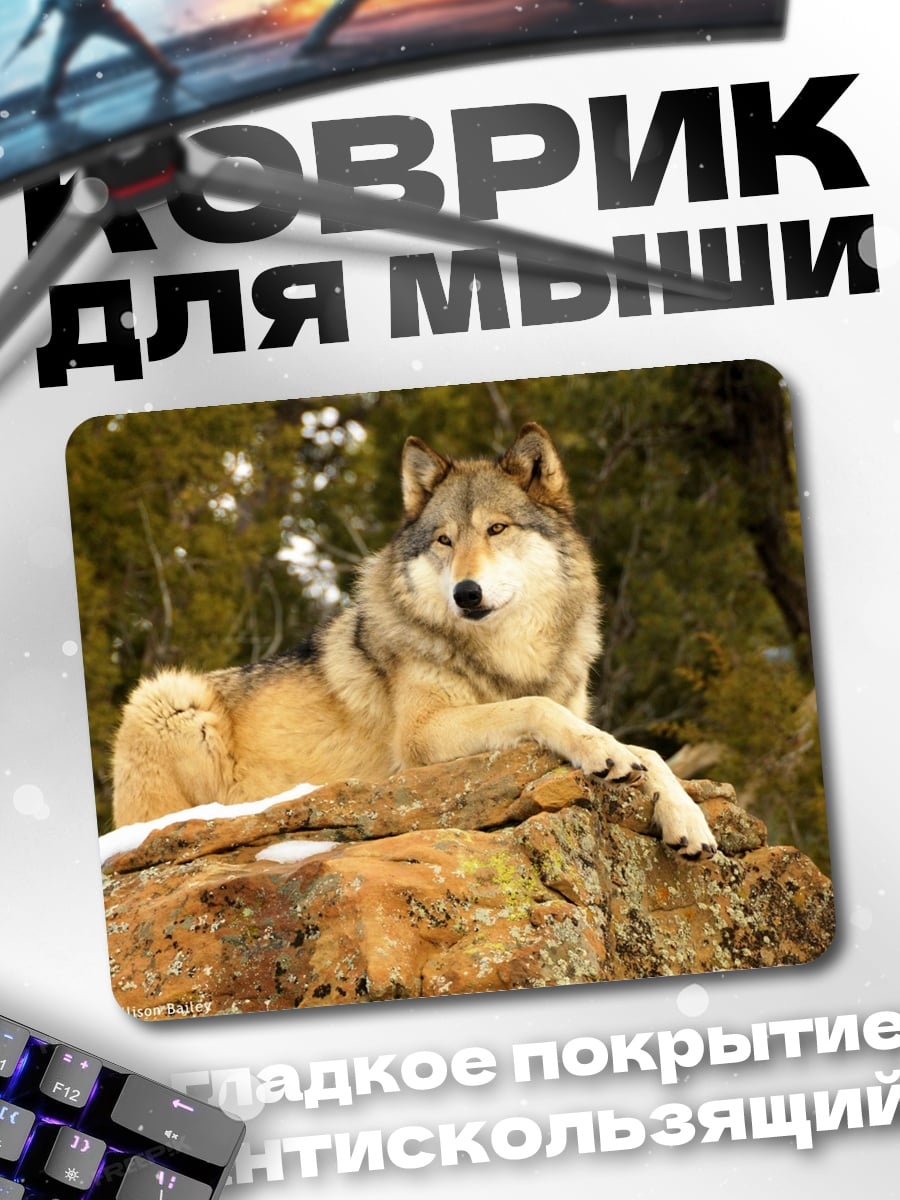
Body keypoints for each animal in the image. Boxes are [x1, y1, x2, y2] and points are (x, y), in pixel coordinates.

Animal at [112, 423, 716, 860]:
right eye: (445, 540)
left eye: (497, 529)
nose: (465, 593)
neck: (508, 656)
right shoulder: (422, 738)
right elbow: (537, 707)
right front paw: (599, 751)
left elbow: (650, 753)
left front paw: (688, 820)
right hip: (167, 697)